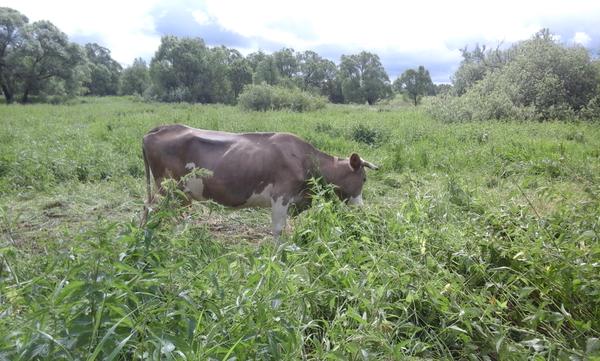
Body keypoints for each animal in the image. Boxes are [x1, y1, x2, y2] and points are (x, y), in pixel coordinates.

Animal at [141, 124, 378, 239]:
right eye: (364, 178)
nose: (362, 209)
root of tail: (161, 128)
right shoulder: (281, 196)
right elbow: (278, 229)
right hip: (168, 189)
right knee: (151, 211)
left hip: (178, 194)